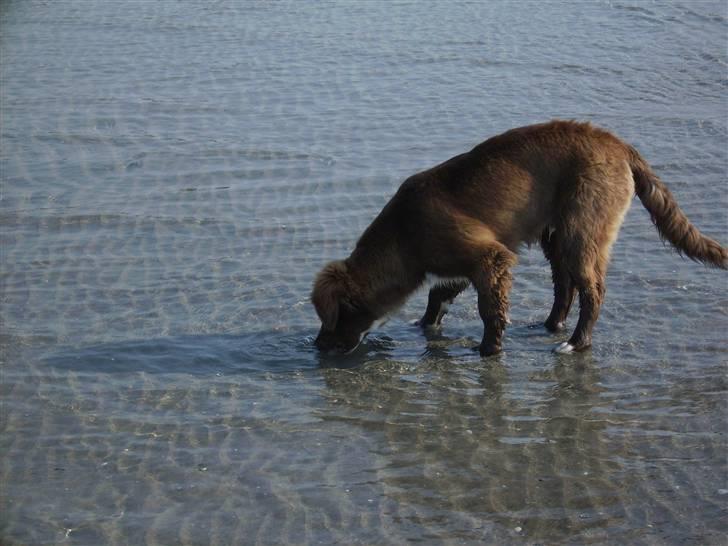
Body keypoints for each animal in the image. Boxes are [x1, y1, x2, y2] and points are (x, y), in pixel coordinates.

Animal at [310, 121, 724, 354]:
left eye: (335, 316)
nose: (318, 348)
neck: (404, 235)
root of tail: (618, 145)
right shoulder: (461, 266)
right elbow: (437, 298)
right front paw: (425, 327)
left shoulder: (489, 258)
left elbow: (489, 310)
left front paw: (488, 350)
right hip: (554, 235)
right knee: (564, 286)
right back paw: (551, 326)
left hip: (582, 231)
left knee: (592, 290)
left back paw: (576, 343)